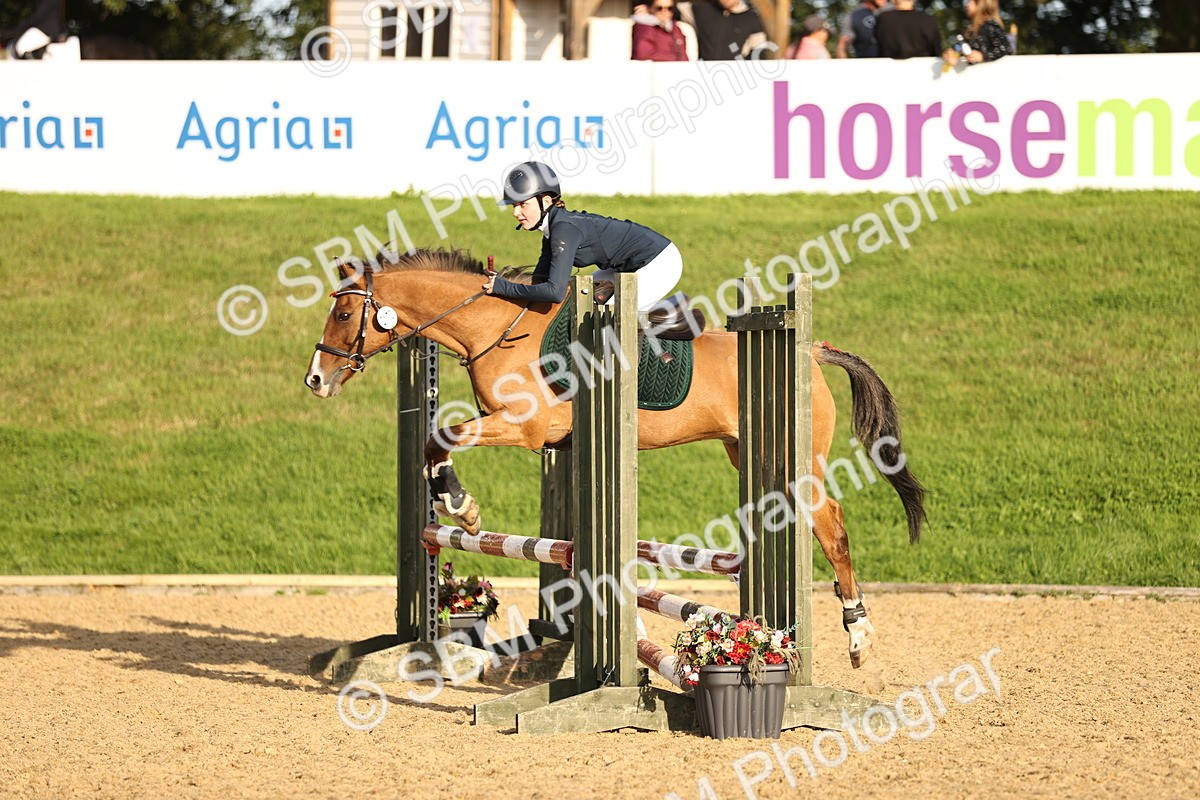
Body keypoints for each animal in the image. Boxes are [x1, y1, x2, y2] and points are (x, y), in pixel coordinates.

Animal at [305, 249, 926, 668]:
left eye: (343, 315)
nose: (315, 380)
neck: (495, 329)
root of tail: (811, 349)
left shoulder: (524, 428)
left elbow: (441, 437)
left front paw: (464, 508)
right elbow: (436, 441)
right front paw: (459, 507)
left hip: (802, 465)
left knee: (832, 528)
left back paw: (857, 634)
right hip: (742, 451)